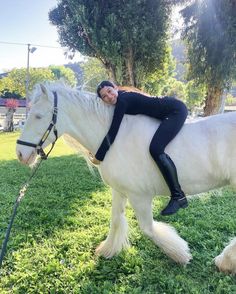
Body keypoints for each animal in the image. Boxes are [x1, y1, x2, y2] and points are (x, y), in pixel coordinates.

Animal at [15, 82, 235, 272]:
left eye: (38, 116)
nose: (20, 154)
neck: (114, 137)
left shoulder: (140, 196)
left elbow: (148, 229)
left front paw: (180, 254)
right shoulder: (120, 191)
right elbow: (115, 220)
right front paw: (107, 250)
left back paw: (224, 261)